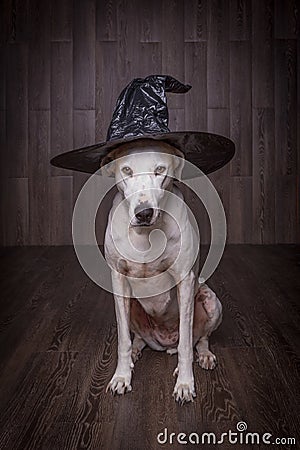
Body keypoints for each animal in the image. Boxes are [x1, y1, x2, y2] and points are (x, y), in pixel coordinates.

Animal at [102, 138, 221, 404]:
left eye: (159, 170)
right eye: (127, 170)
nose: (144, 213)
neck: (146, 234)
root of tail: (165, 342)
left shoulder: (185, 281)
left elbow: (187, 344)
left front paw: (185, 383)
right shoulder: (118, 279)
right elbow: (123, 339)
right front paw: (121, 377)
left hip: (210, 301)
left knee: (200, 339)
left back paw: (204, 355)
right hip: (133, 307)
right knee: (137, 338)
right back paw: (135, 353)